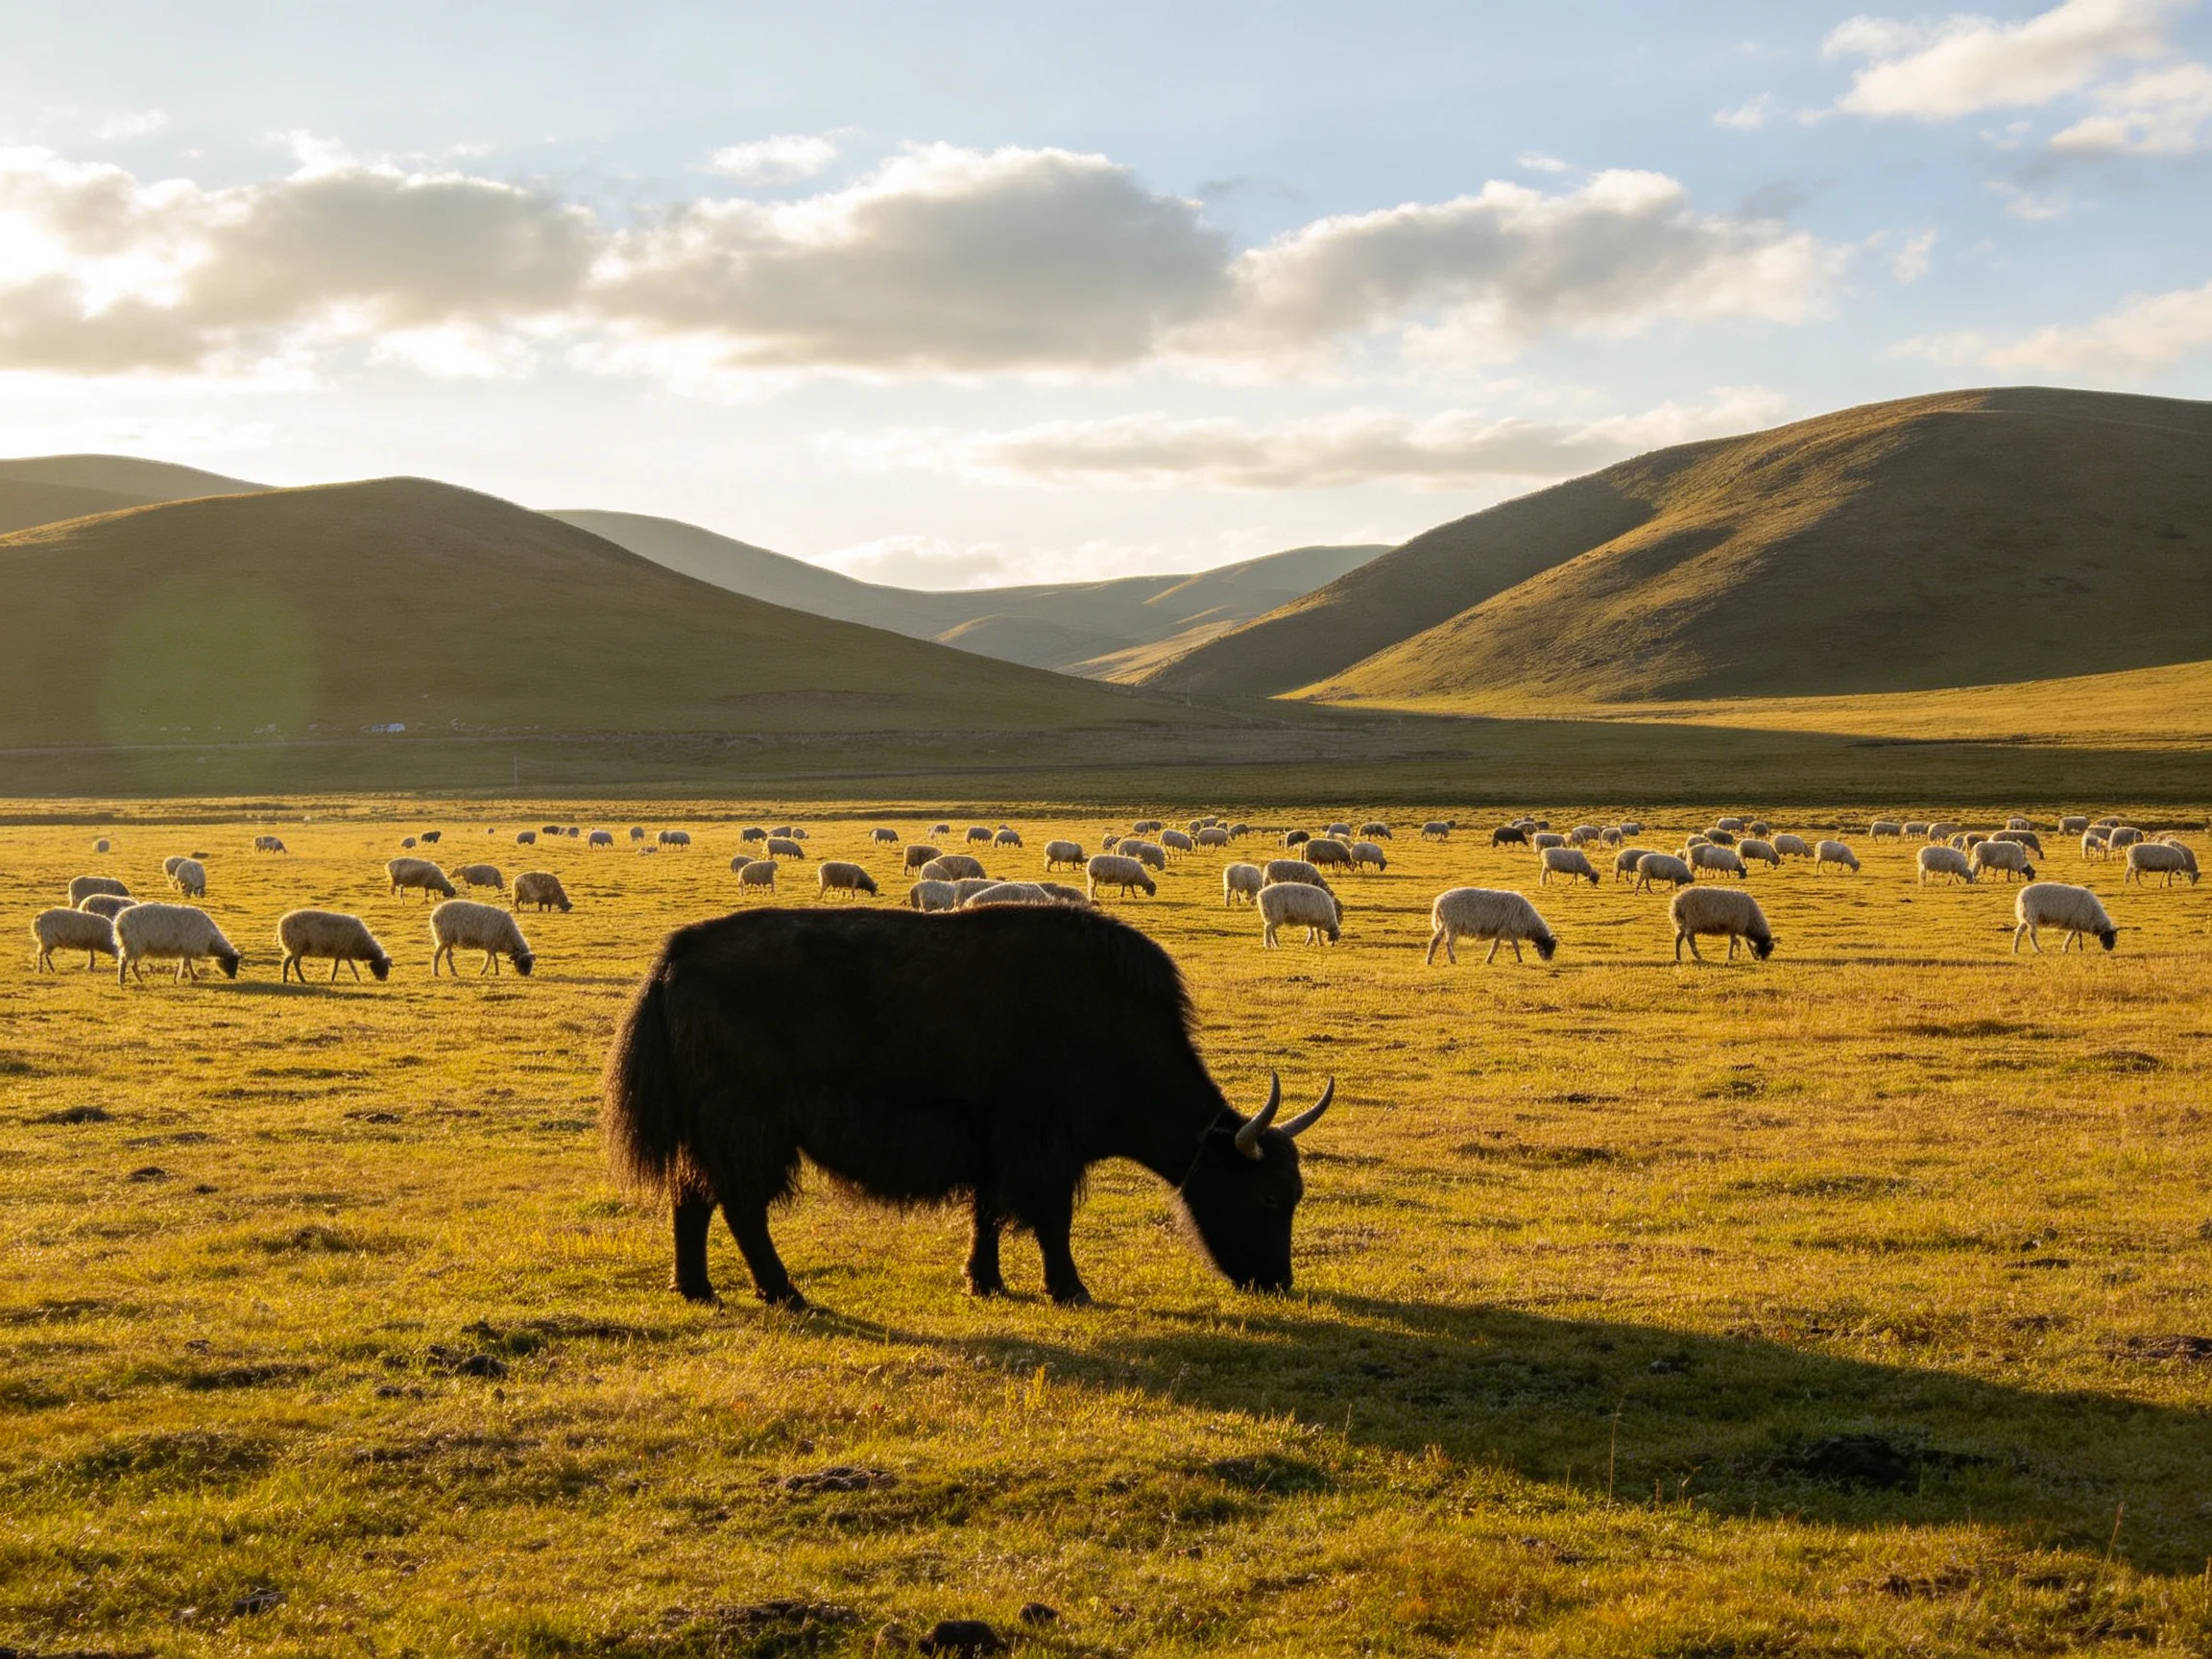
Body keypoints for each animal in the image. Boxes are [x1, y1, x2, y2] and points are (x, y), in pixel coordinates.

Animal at [116, 903, 241, 985]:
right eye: (232, 962)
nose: (233, 977)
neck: (211, 940)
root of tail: (119, 922)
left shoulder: (186, 948)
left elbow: (187, 962)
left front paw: (188, 976)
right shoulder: (189, 946)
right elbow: (186, 963)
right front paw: (184, 977)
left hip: (135, 946)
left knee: (133, 965)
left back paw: (140, 980)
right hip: (133, 944)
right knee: (124, 962)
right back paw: (122, 980)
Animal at [1425, 887, 1556, 965]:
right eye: (1548, 947)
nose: (1549, 960)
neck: (1529, 921)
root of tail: (1438, 902)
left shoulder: (1510, 931)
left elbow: (1516, 946)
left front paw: (1519, 959)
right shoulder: (1504, 929)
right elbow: (1496, 946)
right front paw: (1489, 960)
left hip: (1445, 924)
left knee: (1435, 941)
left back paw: (1429, 960)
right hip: (1453, 924)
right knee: (1448, 943)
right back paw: (1453, 960)